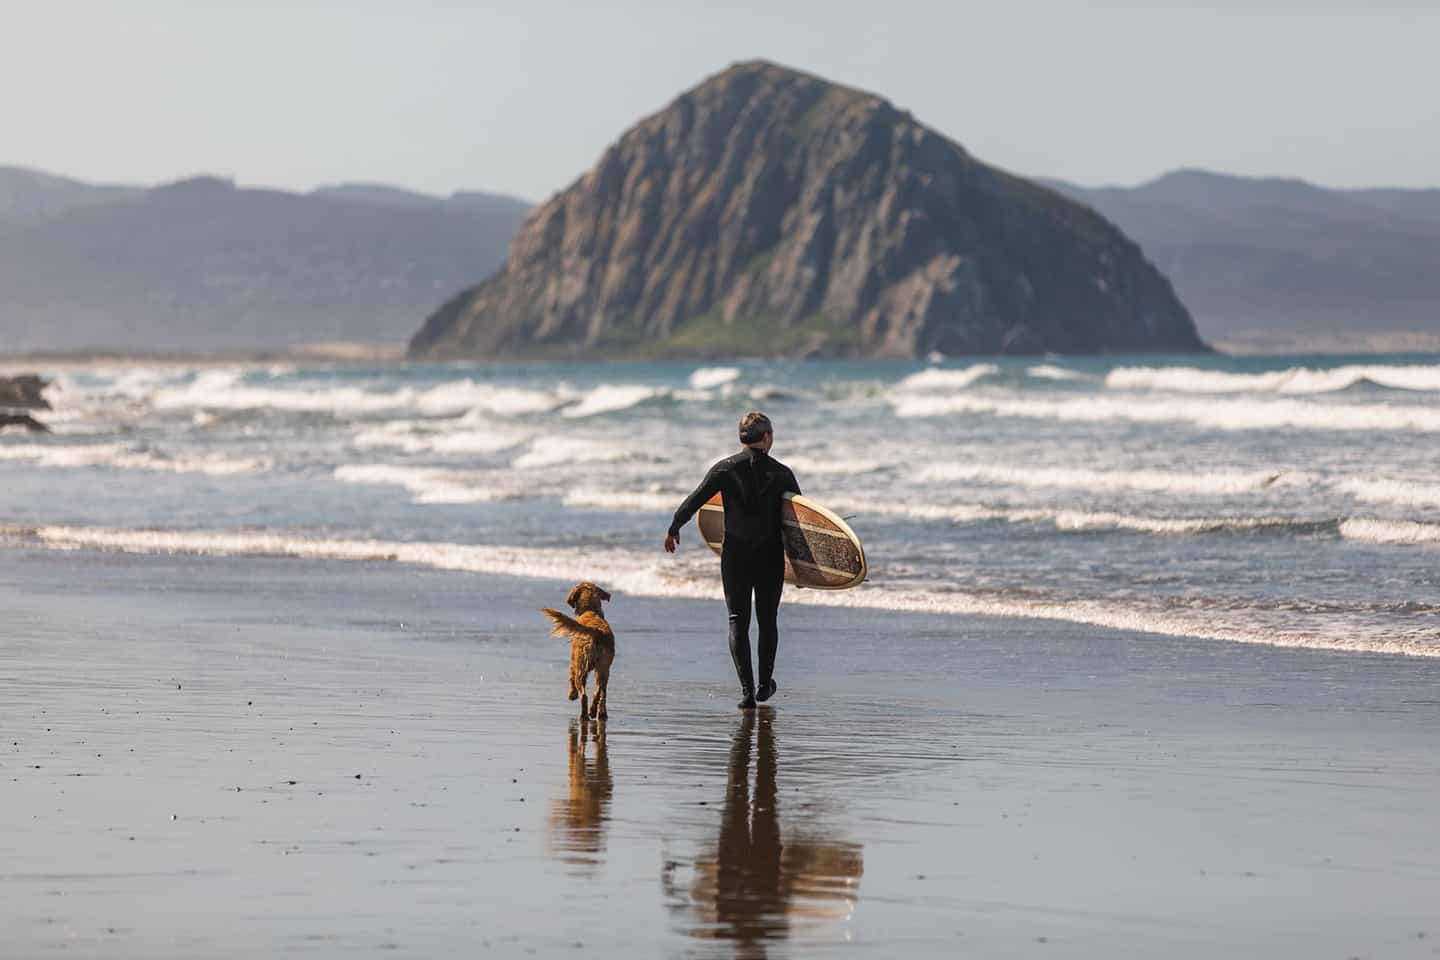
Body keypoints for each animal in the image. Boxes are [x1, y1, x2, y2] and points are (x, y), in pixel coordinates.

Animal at [538, 587, 610, 719]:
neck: (591, 611)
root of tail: (597, 632)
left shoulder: (573, 661)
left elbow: (570, 677)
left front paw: (572, 694)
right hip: (603, 669)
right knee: (600, 692)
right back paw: (596, 712)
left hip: (581, 667)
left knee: (584, 695)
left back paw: (584, 714)